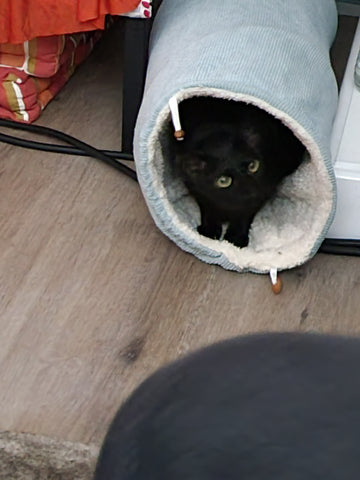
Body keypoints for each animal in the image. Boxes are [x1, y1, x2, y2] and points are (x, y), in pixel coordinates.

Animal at [173, 97, 306, 248]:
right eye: (223, 181)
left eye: (253, 166)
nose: (252, 192)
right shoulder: (195, 188)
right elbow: (207, 205)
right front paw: (209, 230)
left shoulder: (266, 186)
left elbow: (245, 212)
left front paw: (236, 237)